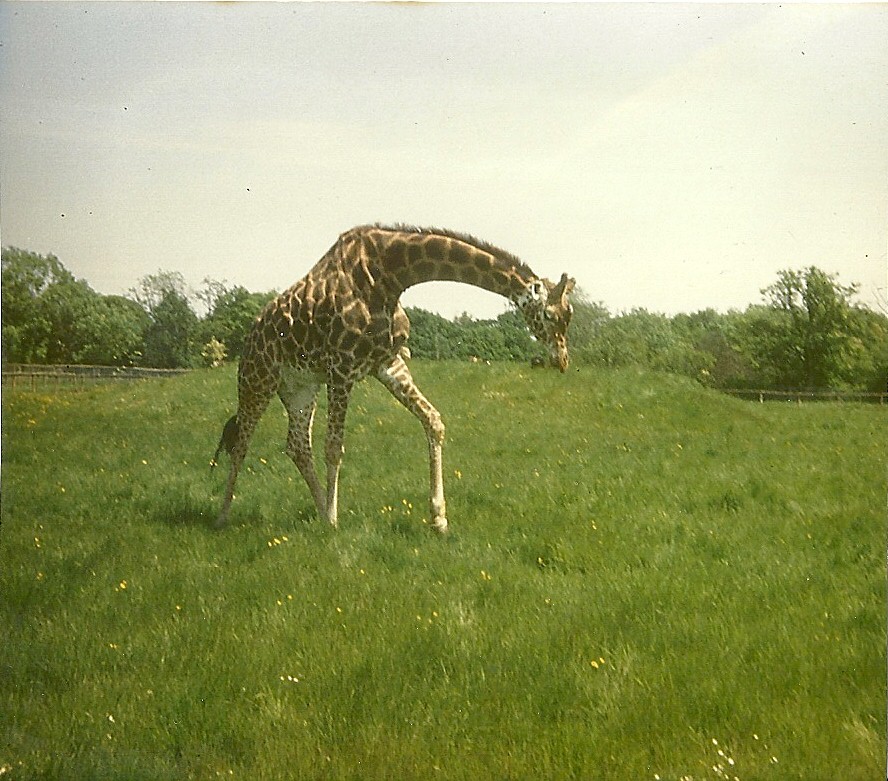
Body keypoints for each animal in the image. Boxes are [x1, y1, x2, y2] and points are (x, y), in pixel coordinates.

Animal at [213, 224, 575, 532]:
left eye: (569, 316)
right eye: (549, 315)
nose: (562, 360)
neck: (390, 275)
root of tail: (249, 337)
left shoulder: (387, 363)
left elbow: (433, 421)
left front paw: (439, 518)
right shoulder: (341, 367)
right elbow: (334, 447)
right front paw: (335, 522)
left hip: (300, 387)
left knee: (297, 445)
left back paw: (318, 510)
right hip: (257, 379)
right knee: (241, 443)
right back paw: (224, 515)